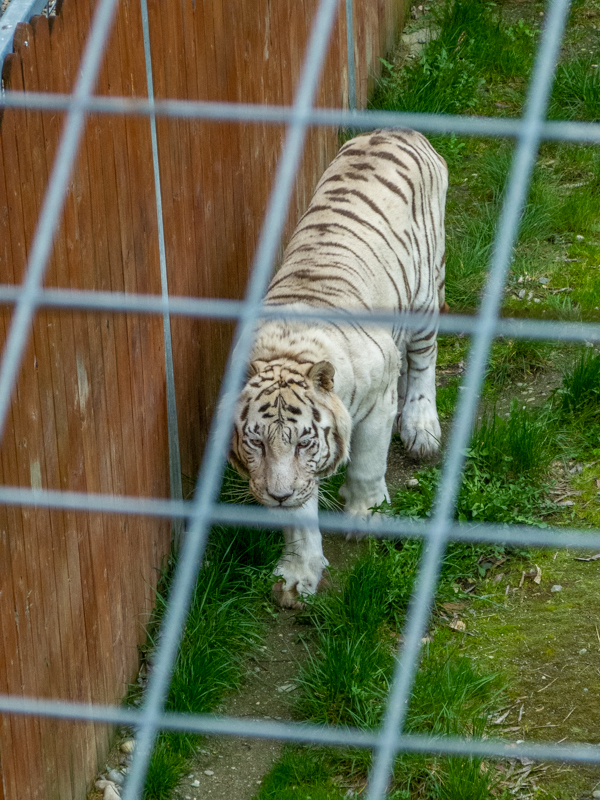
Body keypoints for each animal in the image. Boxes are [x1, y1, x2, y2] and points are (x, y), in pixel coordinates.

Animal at [229, 129, 448, 609]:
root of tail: (400, 130)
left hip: (424, 295)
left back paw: (421, 426)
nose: (276, 495)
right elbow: (299, 515)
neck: (286, 352)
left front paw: (365, 516)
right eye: (255, 443)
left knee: (424, 358)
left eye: (303, 443)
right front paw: (299, 574)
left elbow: (366, 462)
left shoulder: (376, 403)